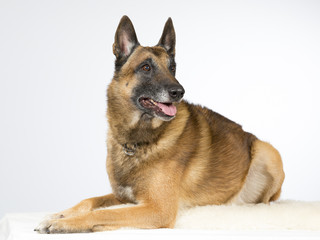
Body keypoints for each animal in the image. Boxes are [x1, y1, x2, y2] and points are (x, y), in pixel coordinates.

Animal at [35, 15, 284, 233]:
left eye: (172, 68)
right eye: (146, 67)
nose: (179, 92)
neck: (135, 142)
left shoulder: (157, 209)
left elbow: (104, 213)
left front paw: (64, 223)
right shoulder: (122, 197)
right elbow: (88, 201)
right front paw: (60, 214)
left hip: (267, 151)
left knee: (266, 201)